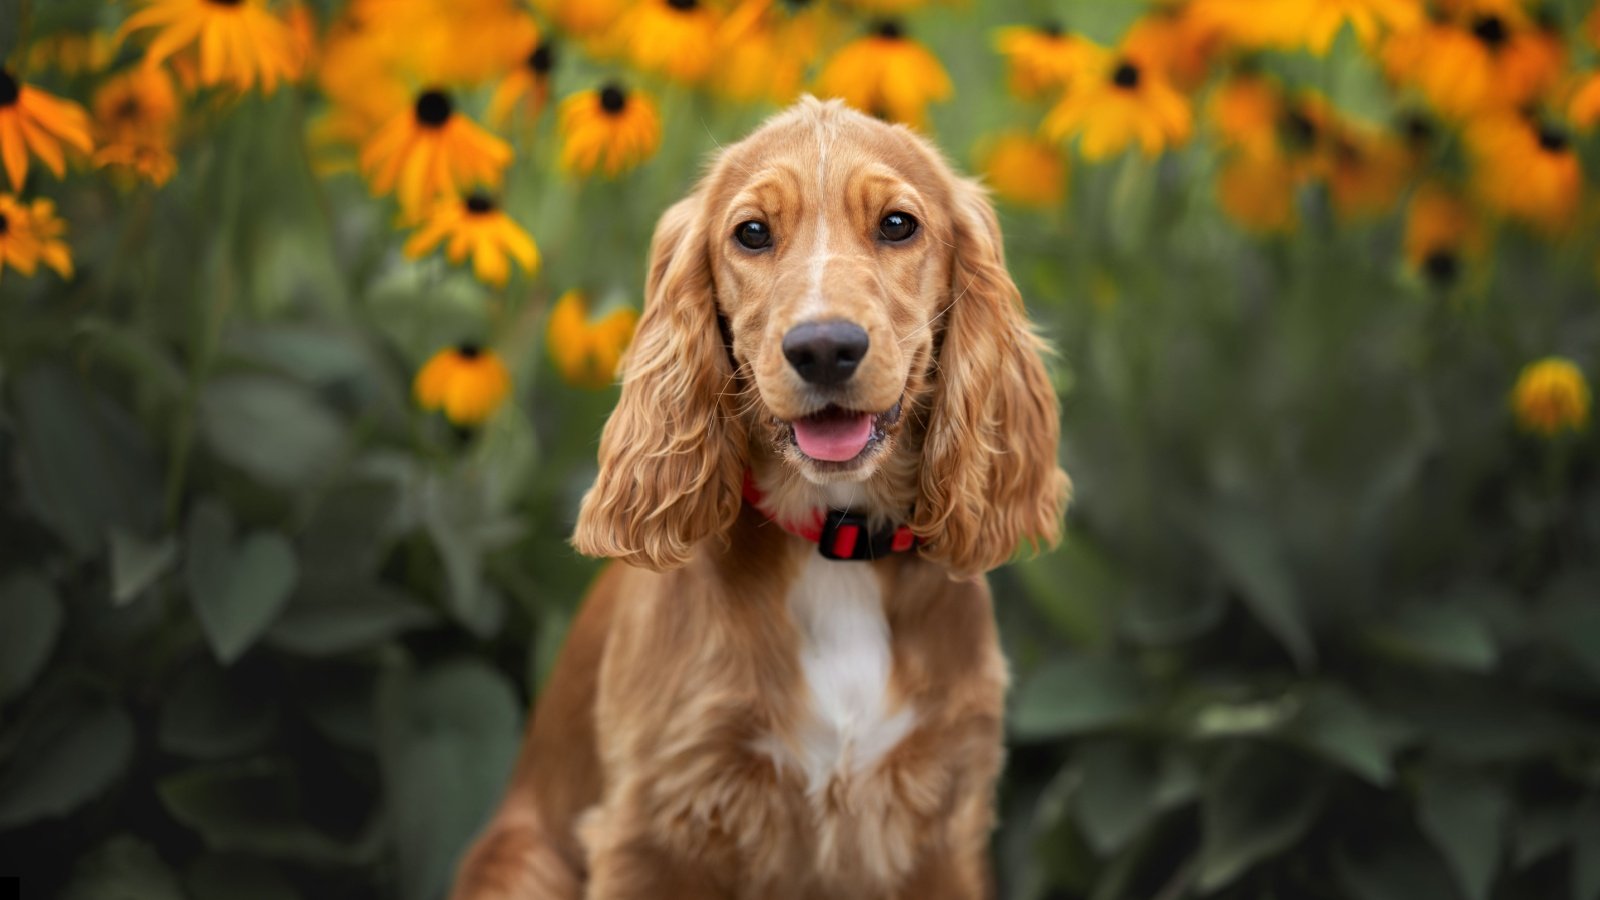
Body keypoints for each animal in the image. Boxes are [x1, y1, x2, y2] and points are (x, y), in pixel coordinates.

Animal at [451, 96, 1068, 896]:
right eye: (751, 233)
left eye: (898, 223)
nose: (825, 348)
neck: (835, 548)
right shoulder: (654, 825)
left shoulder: (943, 825)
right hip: (520, 859)